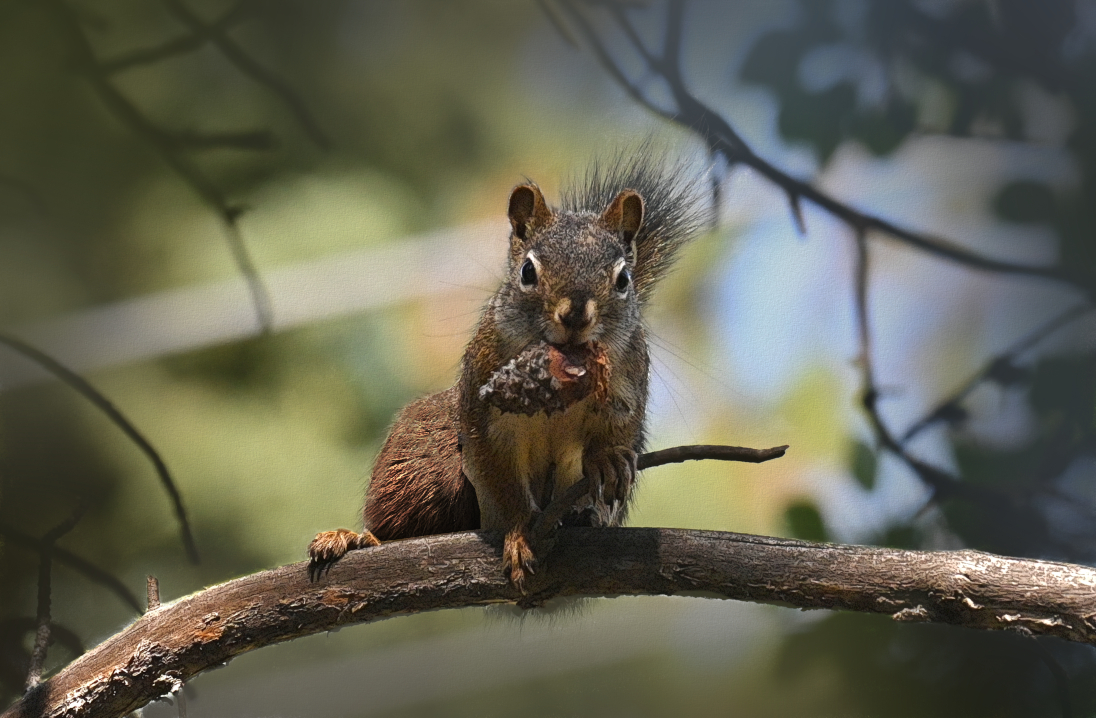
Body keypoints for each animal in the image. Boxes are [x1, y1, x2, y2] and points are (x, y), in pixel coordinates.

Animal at [309, 157, 701, 591]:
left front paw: (609, 459)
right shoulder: (485, 410)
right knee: (399, 521)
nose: (575, 315)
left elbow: (620, 429)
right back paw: (356, 538)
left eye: (623, 279)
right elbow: (502, 477)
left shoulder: (626, 385)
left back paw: (584, 515)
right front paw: (521, 533)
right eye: (527, 271)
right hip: (421, 468)